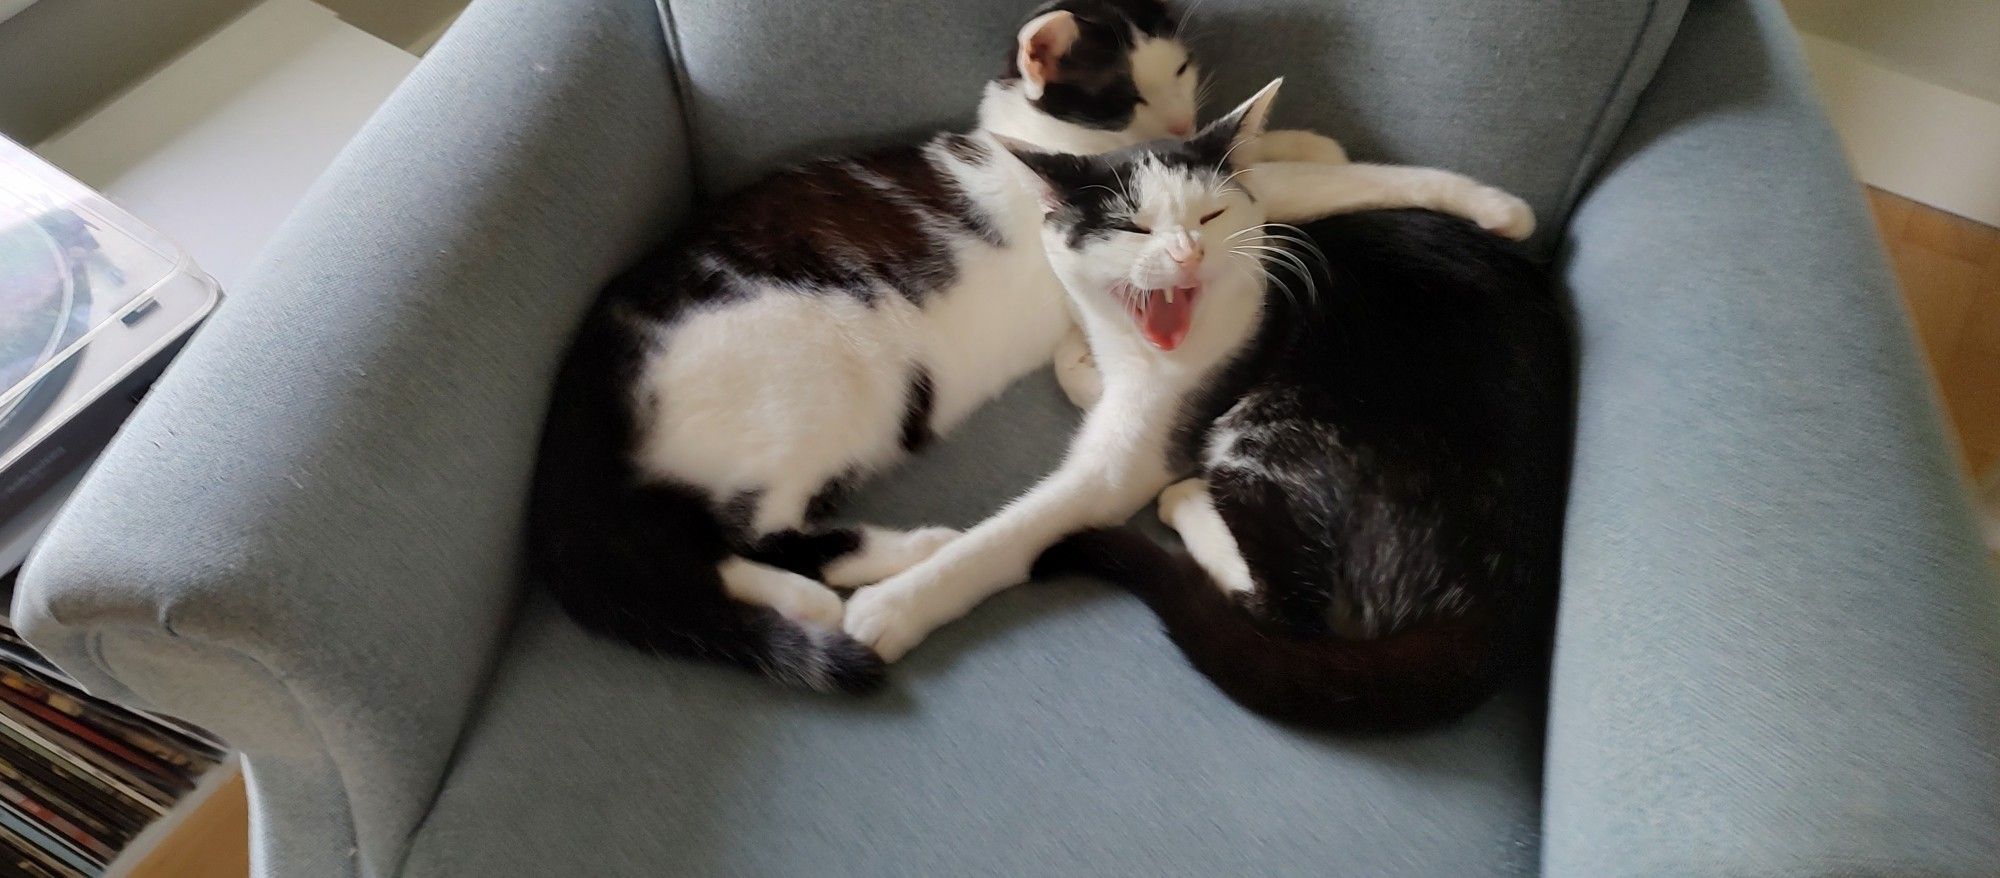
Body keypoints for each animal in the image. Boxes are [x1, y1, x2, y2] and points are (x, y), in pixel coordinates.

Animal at [532, 0, 1528, 696]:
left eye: (1182, 70)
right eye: (1126, 92)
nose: (1177, 120)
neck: (1042, 138)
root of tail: (579, 399)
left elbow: (1266, 162)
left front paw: (1303, 132)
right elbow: (1317, 182)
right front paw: (1490, 203)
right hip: (824, 372)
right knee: (711, 535)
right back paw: (879, 565)